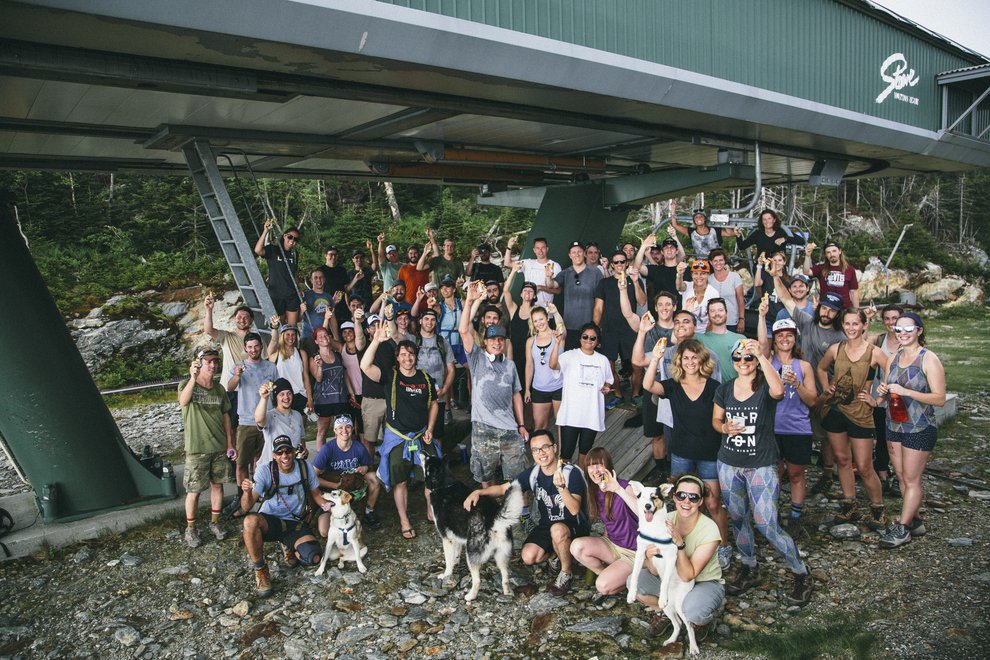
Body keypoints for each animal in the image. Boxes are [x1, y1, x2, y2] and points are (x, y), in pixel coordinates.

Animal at [422, 456, 524, 600]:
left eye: (427, 459)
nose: (422, 452)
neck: (444, 484)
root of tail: (493, 519)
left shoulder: (446, 539)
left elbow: (448, 561)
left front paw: (446, 574)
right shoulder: (456, 539)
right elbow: (455, 557)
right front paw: (455, 565)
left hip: (471, 554)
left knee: (477, 580)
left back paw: (470, 596)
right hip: (501, 557)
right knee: (505, 576)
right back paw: (507, 592)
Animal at [628, 482, 696, 656]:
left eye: (654, 497)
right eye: (642, 496)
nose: (647, 506)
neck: (652, 527)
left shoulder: (671, 555)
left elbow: (664, 581)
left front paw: (662, 596)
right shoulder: (641, 552)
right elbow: (635, 574)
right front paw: (631, 594)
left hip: (680, 604)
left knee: (689, 626)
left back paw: (694, 647)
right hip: (669, 609)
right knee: (678, 624)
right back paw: (671, 640)